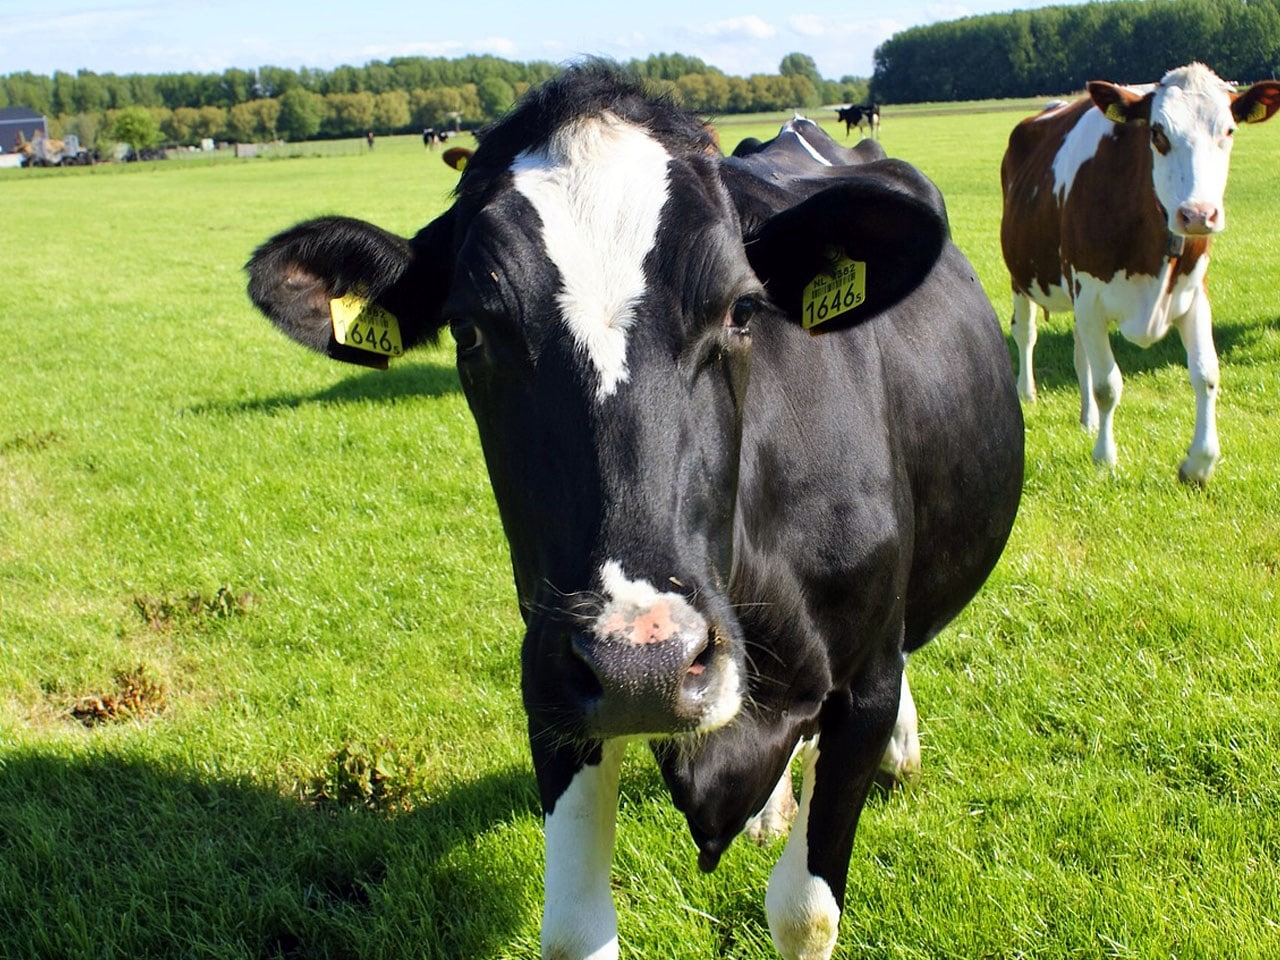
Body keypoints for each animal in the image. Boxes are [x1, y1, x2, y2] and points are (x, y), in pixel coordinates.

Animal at [244, 64, 1024, 957]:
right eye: (470, 331)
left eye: (742, 310)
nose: (642, 664)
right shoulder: (554, 685)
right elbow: (575, 928)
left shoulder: (861, 685)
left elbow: (805, 909)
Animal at [998, 61, 1280, 483]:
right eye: (1157, 133)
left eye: (1228, 131)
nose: (1198, 215)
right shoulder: (1090, 296)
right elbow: (1108, 384)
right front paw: (1105, 458)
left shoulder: (1193, 294)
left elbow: (1206, 373)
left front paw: (1199, 463)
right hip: (1022, 276)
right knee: (1027, 333)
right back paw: (1027, 394)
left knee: (1080, 352)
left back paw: (1087, 420)